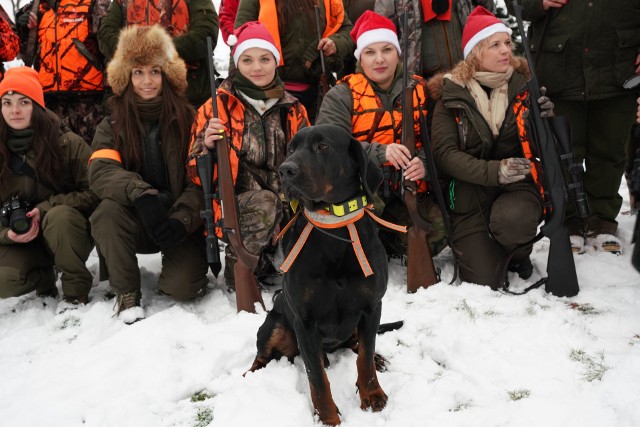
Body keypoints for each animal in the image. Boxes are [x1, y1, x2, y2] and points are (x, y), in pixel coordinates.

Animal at [248, 125, 388, 426]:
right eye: (290, 148)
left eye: (323, 146)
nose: (285, 171)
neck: (334, 230)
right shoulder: (305, 321)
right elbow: (317, 377)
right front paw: (327, 417)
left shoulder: (371, 307)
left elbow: (365, 357)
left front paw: (372, 394)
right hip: (274, 325)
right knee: (262, 356)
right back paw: (249, 376)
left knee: (358, 345)